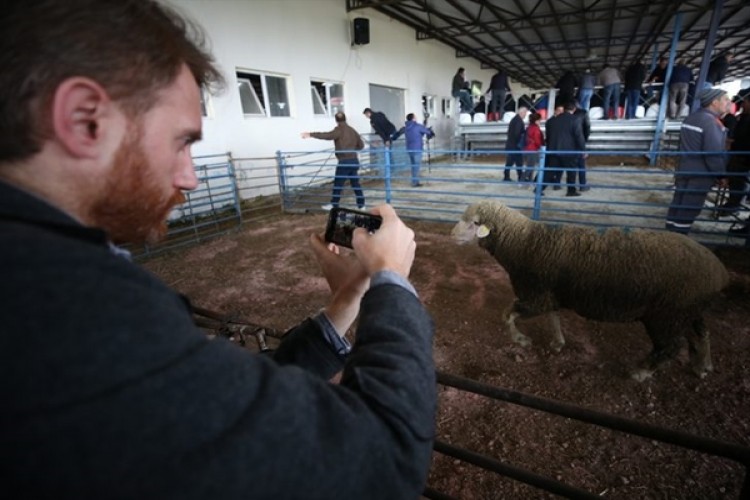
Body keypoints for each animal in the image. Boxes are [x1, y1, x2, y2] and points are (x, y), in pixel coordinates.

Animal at [452, 199, 728, 378]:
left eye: (474, 222)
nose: (452, 236)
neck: (524, 242)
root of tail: (719, 272)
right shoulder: (548, 294)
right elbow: (553, 318)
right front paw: (557, 343)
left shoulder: (535, 296)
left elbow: (507, 315)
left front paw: (521, 340)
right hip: (688, 310)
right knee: (702, 334)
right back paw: (703, 366)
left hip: (667, 315)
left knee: (670, 347)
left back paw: (642, 371)